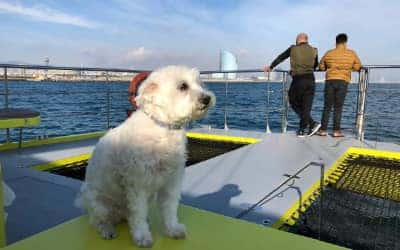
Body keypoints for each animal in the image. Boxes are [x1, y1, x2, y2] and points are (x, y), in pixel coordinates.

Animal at [77, 65, 217, 247]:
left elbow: (169, 208)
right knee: (98, 221)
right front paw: (142, 236)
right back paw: (107, 229)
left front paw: (172, 229)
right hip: (100, 204)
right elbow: (138, 215)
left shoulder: (172, 181)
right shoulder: (138, 184)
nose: (207, 98)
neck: (163, 128)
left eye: (200, 83)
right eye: (183, 86)